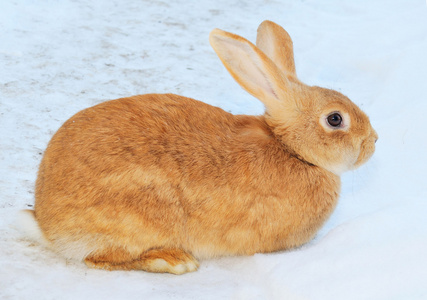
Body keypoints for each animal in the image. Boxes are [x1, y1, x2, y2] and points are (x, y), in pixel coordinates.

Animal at [19, 20, 378, 274]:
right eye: (335, 119)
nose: (373, 142)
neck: (291, 149)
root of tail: (47, 225)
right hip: (142, 216)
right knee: (102, 258)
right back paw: (173, 261)